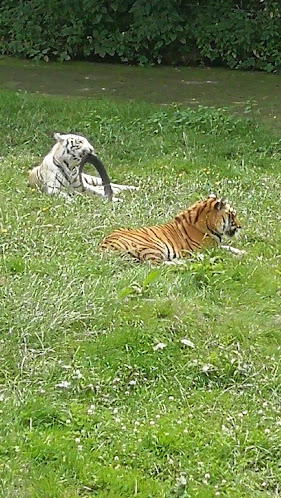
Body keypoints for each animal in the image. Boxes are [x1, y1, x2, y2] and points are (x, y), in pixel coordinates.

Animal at [99, 196, 244, 264]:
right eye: (233, 214)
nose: (240, 226)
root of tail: (103, 246)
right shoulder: (209, 249)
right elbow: (225, 252)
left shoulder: (216, 245)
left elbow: (229, 247)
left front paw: (242, 252)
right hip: (153, 246)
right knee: (155, 264)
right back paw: (183, 262)